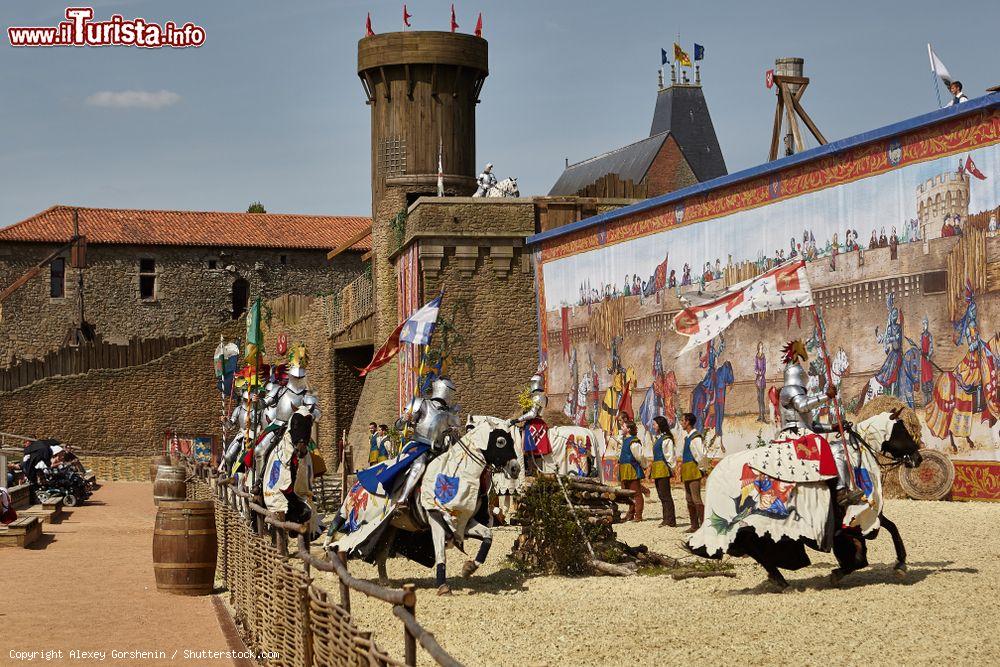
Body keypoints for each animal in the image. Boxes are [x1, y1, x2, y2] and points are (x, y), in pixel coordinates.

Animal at [328, 420, 520, 596]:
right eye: (501, 441)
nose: (515, 468)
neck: (457, 473)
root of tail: (356, 486)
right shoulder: (437, 520)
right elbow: (441, 553)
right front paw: (443, 586)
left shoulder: (461, 521)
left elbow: (488, 536)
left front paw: (469, 568)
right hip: (362, 523)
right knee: (341, 540)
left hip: (388, 528)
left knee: (380, 553)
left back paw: (384, 582)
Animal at [688, 404, 920, 592]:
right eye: (902, 431)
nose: (918, 458)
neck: (856, 457)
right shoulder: (862, 515)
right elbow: (888, 531)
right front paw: (900, 564)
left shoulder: (850, 524)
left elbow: (862, 555)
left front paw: (839, 573)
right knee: (755, 548)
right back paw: (780, 580)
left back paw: (778, 579)